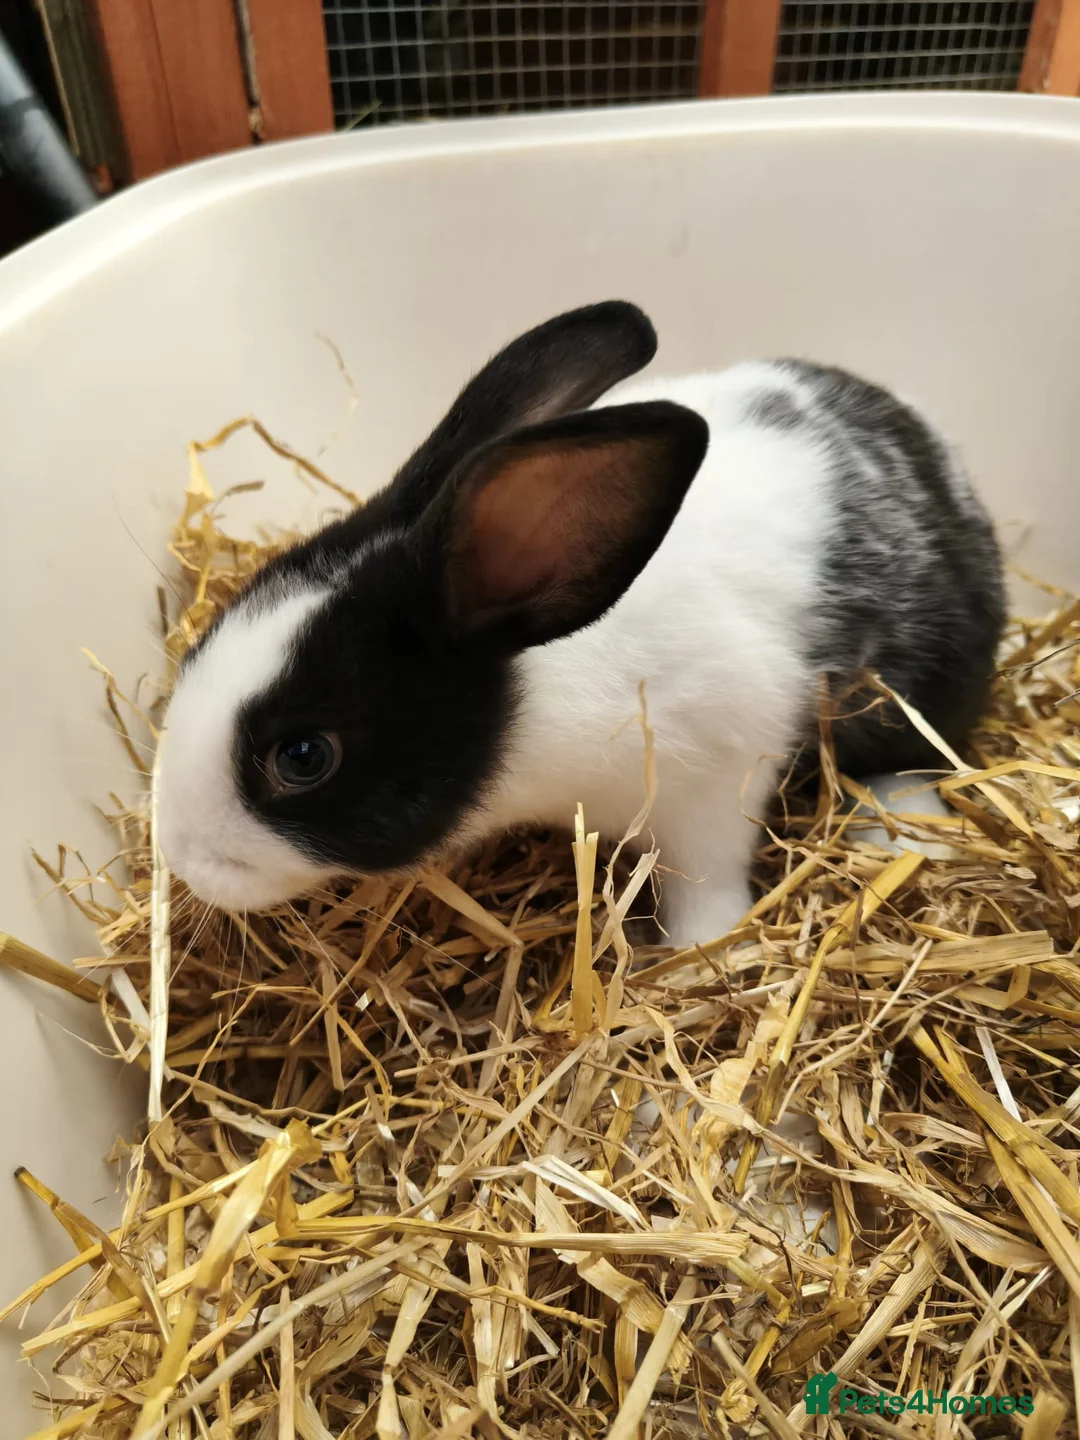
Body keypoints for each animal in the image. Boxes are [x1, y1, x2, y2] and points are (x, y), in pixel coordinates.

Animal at [157, 301, 1004, 948]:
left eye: (303, 757)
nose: (179, 855)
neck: (527, 671)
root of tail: (948, 464)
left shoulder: (717, 778)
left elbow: (707, 881)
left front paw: (696, 954)